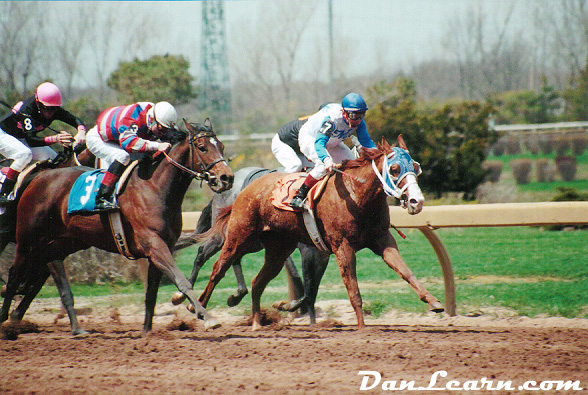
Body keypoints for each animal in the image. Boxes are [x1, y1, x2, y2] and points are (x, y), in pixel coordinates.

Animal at [0, 120, 234, 334]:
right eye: (202, 147)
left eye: (222, 146)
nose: (227, 178)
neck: (154, 188)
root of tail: (36, 179)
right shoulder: (154, 245)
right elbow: (182, 281)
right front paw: (208, 317)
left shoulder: (160, 248)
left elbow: (151, 294)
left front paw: (146, 332)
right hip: (27, 239)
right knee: (14, 276)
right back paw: (6, 320)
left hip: (62, 243)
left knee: (37, 273)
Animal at [195, 136, 444, 332]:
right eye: (394, 169)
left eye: (416, 166)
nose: (417, 201)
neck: (357, 195)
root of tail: (245, 189)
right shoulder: (342, 247)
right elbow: (351, 289)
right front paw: (362, 328)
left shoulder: (382, 240)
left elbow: (406, 272)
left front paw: (434, 302)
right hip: (239, 236)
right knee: (218, 268)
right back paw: (200, 310)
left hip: (277, 249)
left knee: (258, 281)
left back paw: (256, 322)